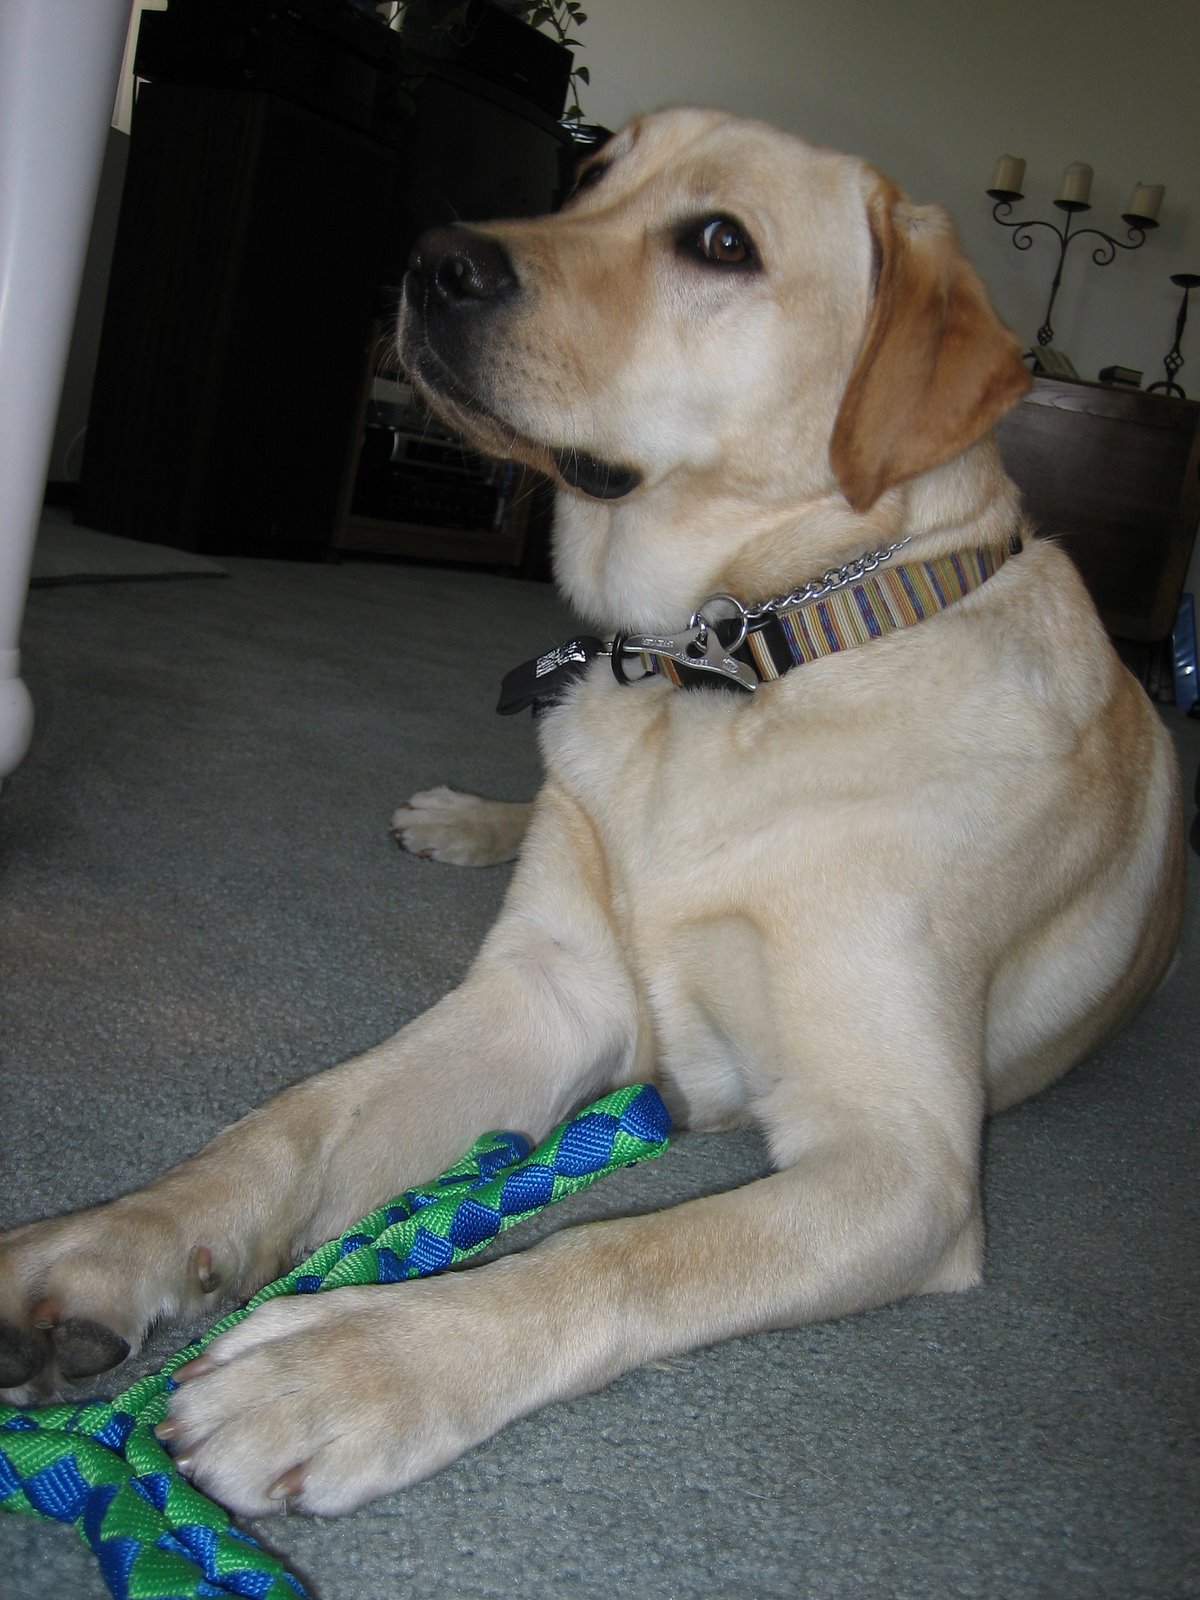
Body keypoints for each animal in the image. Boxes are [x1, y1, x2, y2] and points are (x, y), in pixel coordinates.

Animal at [0, 108, 1183, 1518]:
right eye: (590, 176)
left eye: (721, 242)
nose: (436, 261)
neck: (734, 664)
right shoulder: (540, 997)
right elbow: (286, 1124)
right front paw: (107, 1243)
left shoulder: (900, 1158)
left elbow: (624, 1256)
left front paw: (353, 1367)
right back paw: (463, 813)